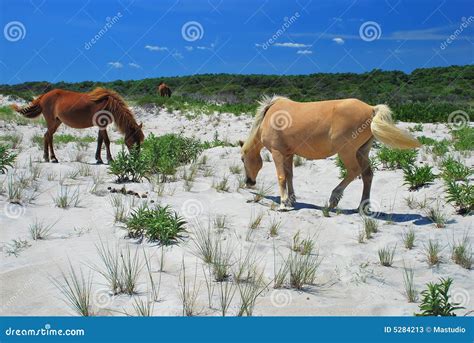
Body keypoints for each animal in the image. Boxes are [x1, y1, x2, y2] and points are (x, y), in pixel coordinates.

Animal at [12, 88, 143, 165]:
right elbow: (106, 141)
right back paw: (53, 158)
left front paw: (99, 159)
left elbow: (99, 141)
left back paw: (47, 157)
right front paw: (110, 160)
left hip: (57, 122)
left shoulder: (101, 126)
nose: (136, 159)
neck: (110, 104)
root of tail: (43, 96)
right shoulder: (102, 125)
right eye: (133, 141)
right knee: (49, 136)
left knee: (47, 136)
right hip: (51, 121)